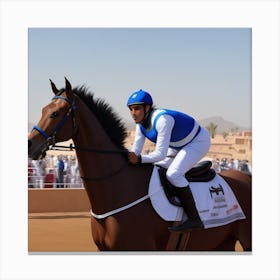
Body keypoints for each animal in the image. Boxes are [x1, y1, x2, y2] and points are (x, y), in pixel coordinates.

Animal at [27, 79, 252, 252]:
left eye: (55, 114)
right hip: (222, 243)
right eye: (43, 110)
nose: (29, 144)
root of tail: (246, 177)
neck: (117, 187)